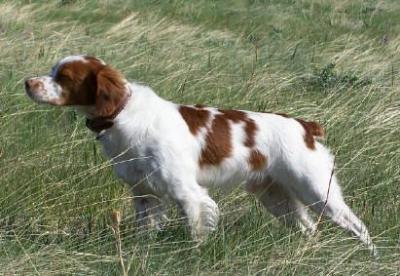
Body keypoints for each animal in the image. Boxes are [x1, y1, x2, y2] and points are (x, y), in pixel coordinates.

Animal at [25, 55, 376, 254]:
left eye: (63, 77)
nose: (28, 82)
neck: (122, 114)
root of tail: (304, 126)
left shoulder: (188, 193)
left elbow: (196, 232)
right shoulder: (144, 194)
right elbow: (146, 231)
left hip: (318, 191)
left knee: (359, 227)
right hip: (275, 195)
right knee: (309, 230)